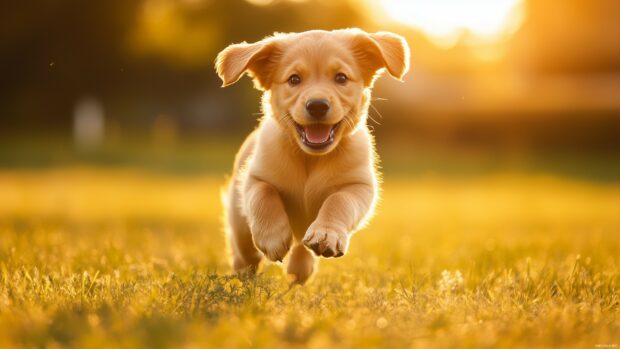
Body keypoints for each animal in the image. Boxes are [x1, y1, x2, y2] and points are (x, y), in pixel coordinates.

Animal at [216, 27, 410, 282]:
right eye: (294, 79)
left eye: (341, 78)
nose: (317, 105)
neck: (310, 158)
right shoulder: (254, 177)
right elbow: (263, 195)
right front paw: (273, 238)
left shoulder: (359, 186)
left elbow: (338, 201)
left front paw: (326, 235)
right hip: (238, 222)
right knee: (244, 253)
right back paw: (244, 275)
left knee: (302, 247)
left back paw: (300, 268)